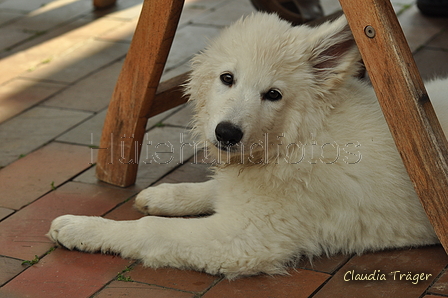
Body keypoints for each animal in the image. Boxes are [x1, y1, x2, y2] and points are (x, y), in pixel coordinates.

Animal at [47, 13, 446, 280]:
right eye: (227, 78)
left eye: (273, 95)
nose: (227, 133)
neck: (298, 138)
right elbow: (212, 188)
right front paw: (165, 195)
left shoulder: (247, 239)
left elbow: (150, 230)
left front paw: (81, 229)